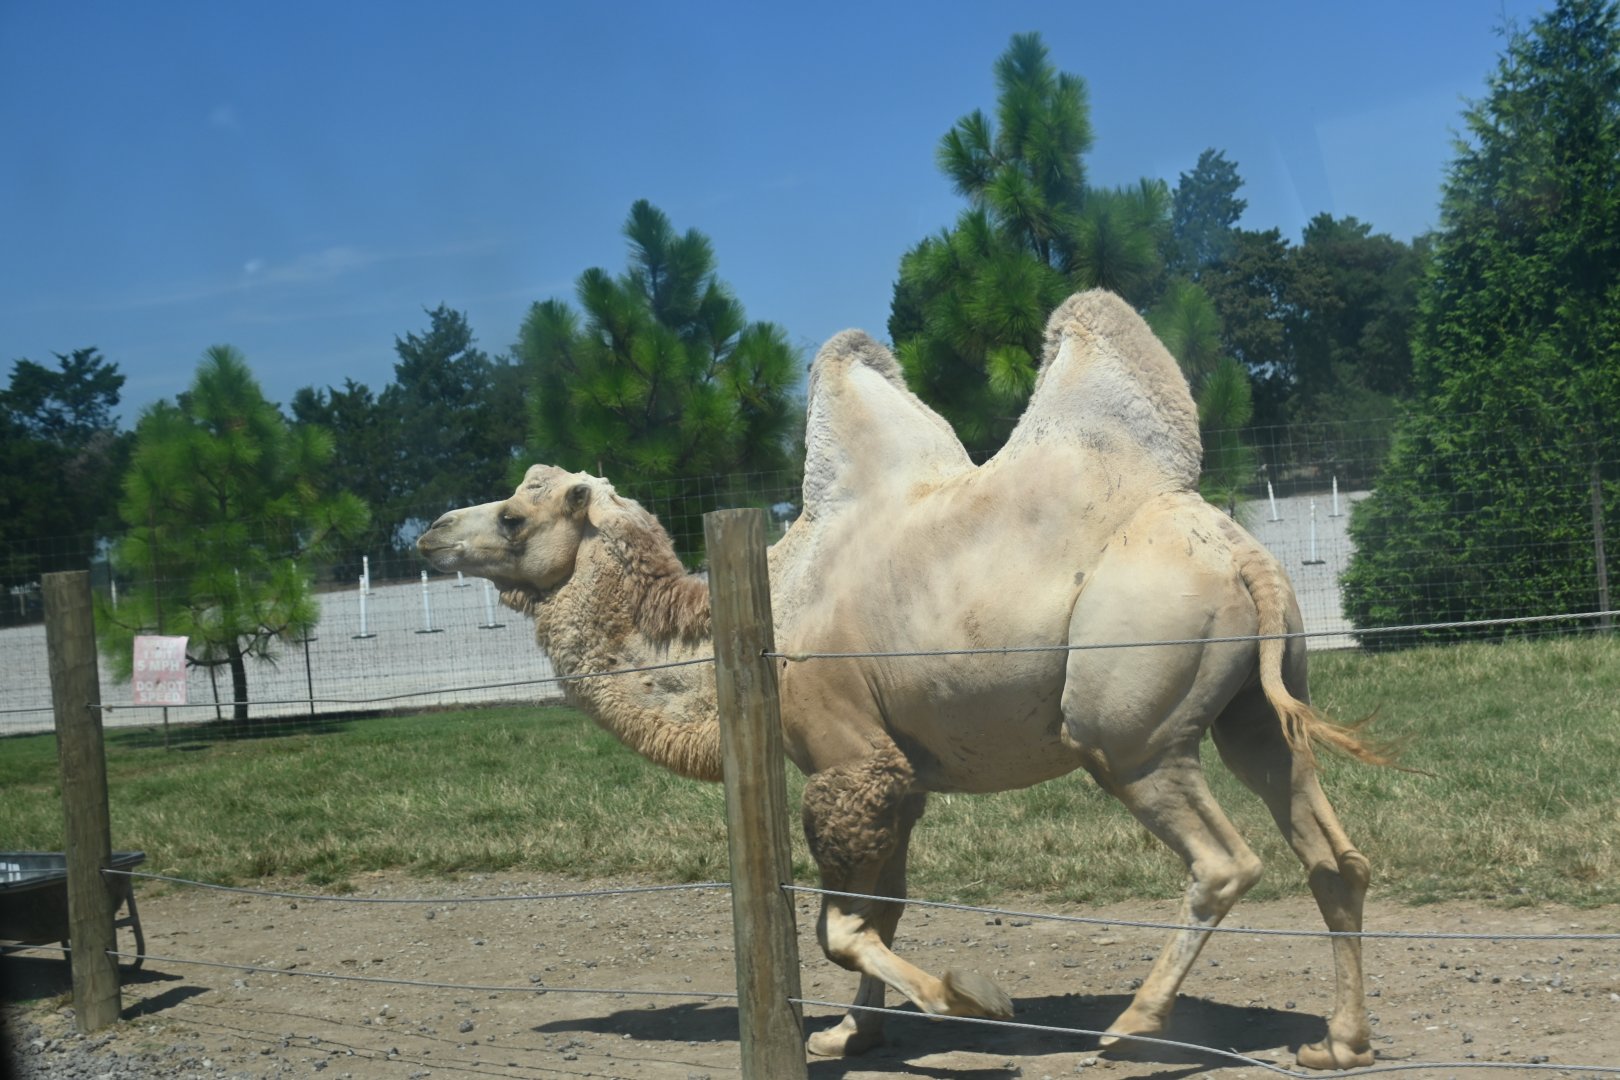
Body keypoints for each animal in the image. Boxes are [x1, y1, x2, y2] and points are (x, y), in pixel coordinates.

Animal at [416, 289, 1384, 1070]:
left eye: (514, 515)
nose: (428, 532)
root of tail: (1247, 555)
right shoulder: (900, 775)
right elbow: (882, 907)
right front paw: (853, 1034)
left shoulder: (849, 761)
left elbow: (839, 927)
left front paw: (962, 999)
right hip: (1256, 706)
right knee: (1331, 852)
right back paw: (1339, 1043)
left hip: (1129, 730)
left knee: (1221, 861)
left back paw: (1131, 1027)